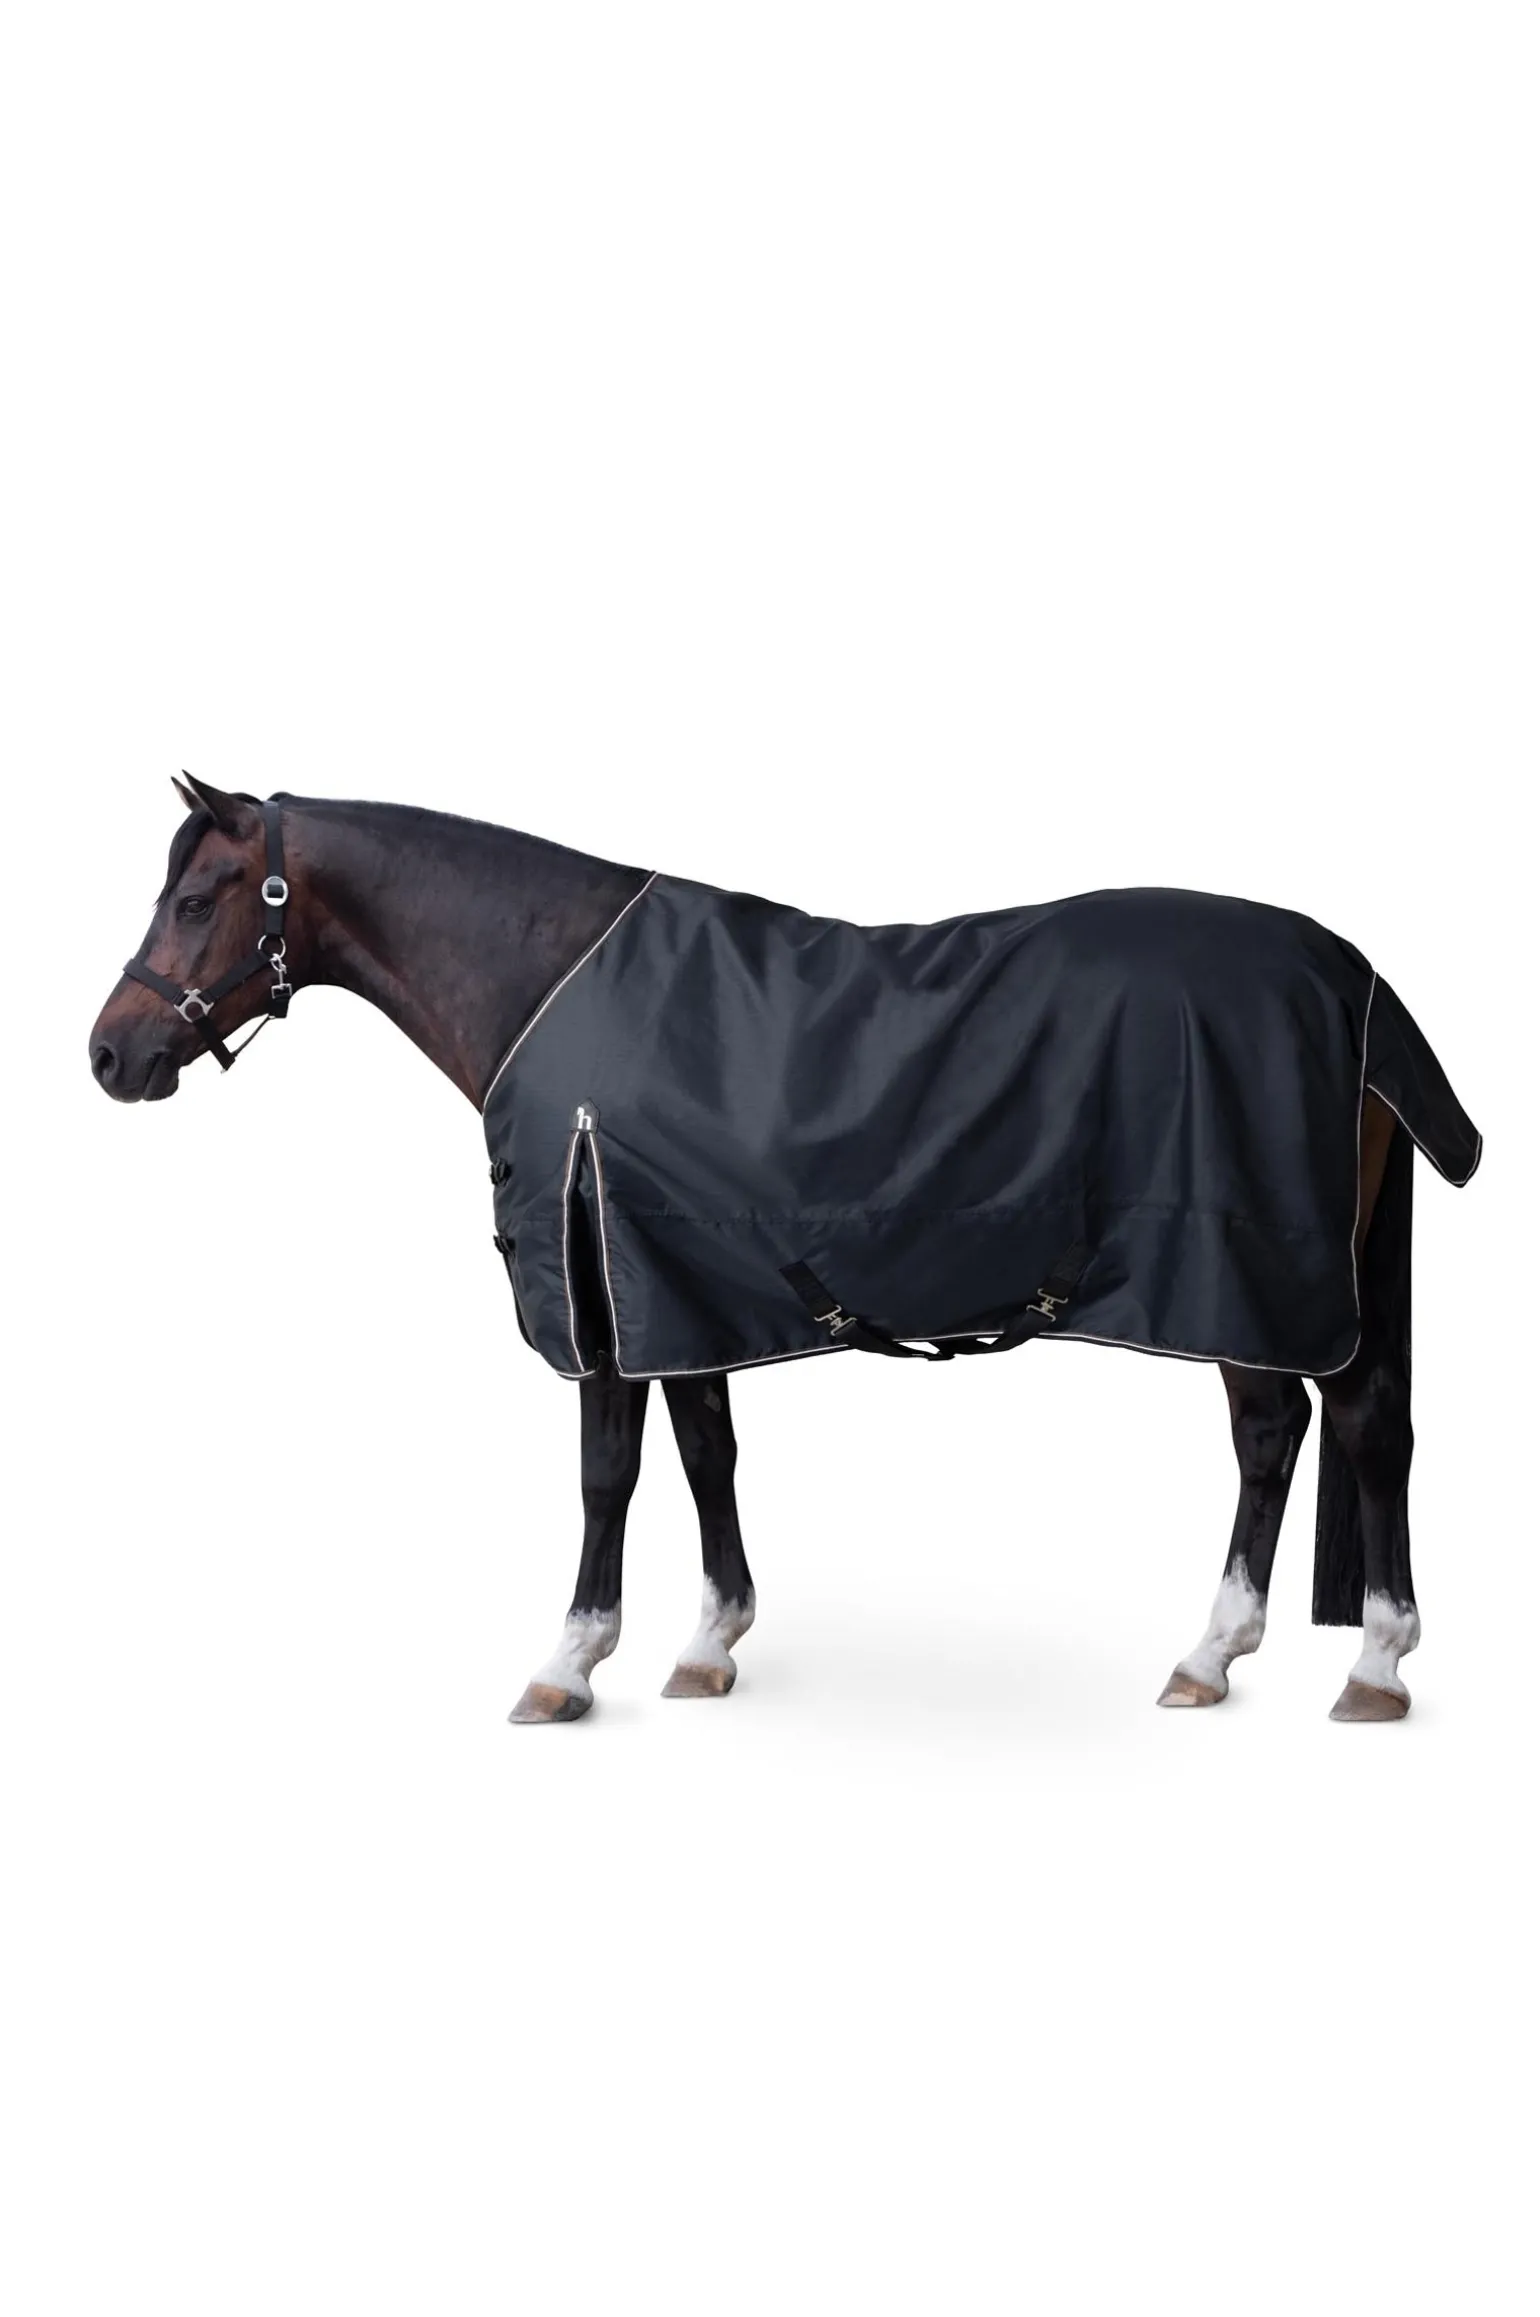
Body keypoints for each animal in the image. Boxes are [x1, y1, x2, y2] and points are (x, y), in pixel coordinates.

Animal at [88, 774, 1481, 1725]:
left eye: (198, 898)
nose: (110, 1053)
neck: (551, 984)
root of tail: (1350, 976)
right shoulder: (678, 1279)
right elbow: (707, 1452)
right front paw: (710, 1643)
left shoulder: (600, 1292)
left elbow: (606, 1474)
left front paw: (567, 1663)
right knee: (1307, 1429)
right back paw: (1247, 1654)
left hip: (1250, 1274)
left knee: (1326, 1425)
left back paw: (1346, 1660)